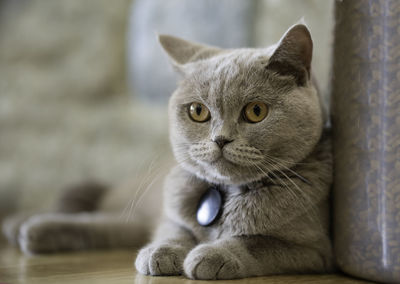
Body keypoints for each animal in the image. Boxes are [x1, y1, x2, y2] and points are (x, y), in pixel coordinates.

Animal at [2, 23, 334, 280]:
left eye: (256, 111)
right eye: (198, 111)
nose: (220, 139)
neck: (225, 194)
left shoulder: (315, 251)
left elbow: (257, 243)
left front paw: (211, 255)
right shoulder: (170, 217)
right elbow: (174, 231)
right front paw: (162, 253)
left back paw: (27, 230)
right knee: (96, 214)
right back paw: (25, 226)